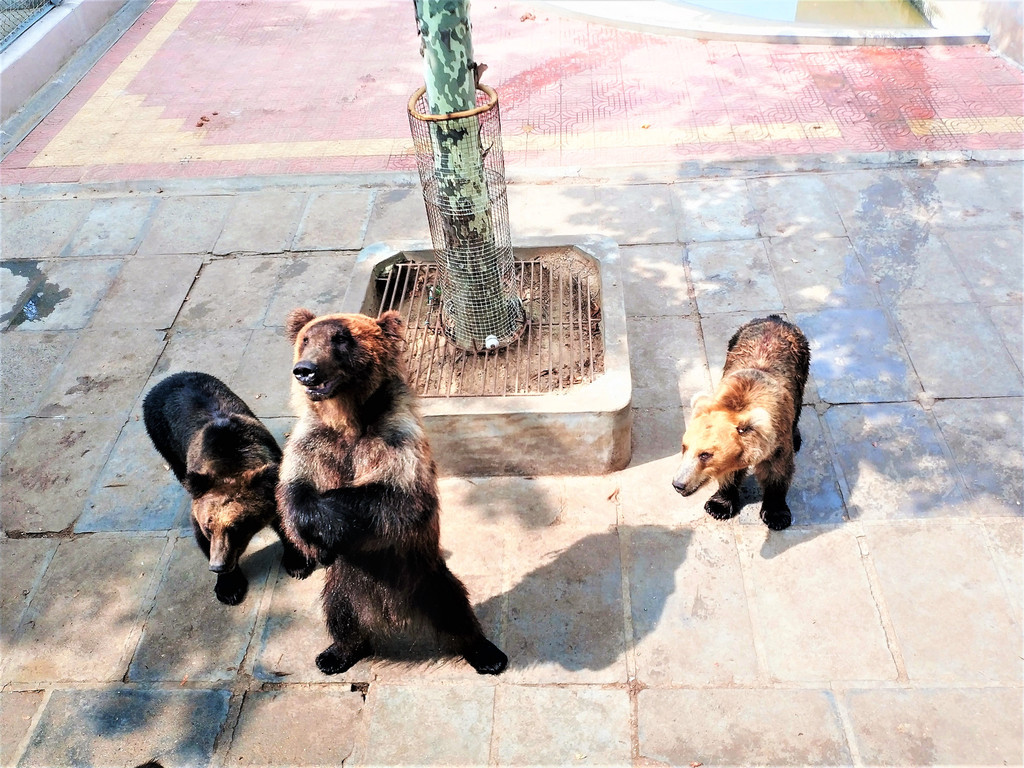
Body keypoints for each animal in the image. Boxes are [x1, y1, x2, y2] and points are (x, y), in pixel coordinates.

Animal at [278, 309, 509, 675]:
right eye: (306, 339)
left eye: (341, 339)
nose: (305, 370)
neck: (348, 420)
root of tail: (391, 610)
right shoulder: (312, 444)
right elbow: (295, 495)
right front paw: (316, 542)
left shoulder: (395, 438)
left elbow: (397, 499)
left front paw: (329, 525)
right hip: (345, 583)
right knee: (341, 616)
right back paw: (335, 654)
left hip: (427, 575)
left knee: (456, 609)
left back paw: (487, 653)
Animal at [675, 315, 811, 532]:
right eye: (684, 447)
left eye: (705, 454)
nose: (678, 484)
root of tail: (775, 318)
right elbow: (730, 474)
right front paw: (719, 506)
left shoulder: (778, 440)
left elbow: (777, 471)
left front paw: (776, 515)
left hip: (801, 367)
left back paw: (797, 436)